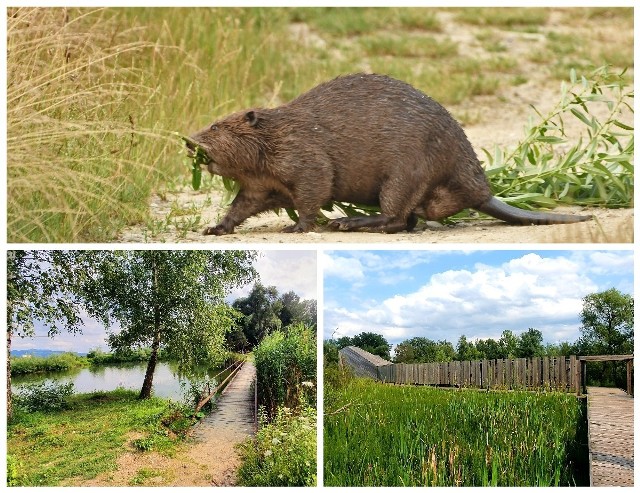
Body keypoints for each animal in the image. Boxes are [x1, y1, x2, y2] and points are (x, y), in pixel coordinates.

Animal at [185, 73, 592, 234]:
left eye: (216, 127)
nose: (190, 141)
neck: (277, 132)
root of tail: (483, 190)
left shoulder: (303, 153)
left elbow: (315, 187)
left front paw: (298, 225)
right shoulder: (260, 181)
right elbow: (245, 203)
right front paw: (215, 227)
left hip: (407, 171)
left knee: (396, 217)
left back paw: (350, 222)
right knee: (409, 218)